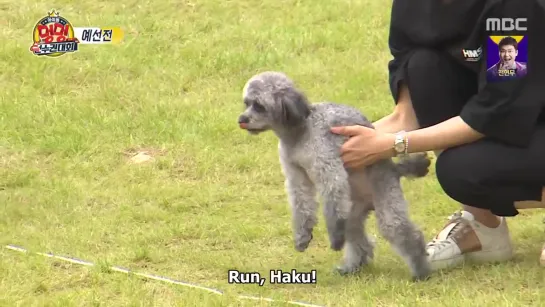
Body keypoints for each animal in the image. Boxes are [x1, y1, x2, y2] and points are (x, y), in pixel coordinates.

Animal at [236, 71, 432, 280]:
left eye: (259, 105)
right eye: (246, 103)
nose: (241, 119)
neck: (301, 131)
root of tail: (395, 169)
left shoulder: (329, 170)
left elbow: (332, 202)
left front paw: (335, 239)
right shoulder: (296, 176)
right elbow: (301, 207)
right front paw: (302, 237)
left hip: (386, 202)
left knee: (407, 235)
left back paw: (421, 272)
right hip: (352, 214)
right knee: (361, 243)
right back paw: (352, 267)